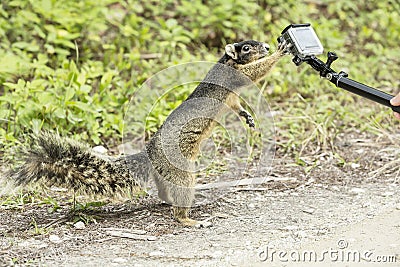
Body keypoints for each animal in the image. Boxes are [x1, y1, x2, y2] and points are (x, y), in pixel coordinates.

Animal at [10, 39, 288, 227]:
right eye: (246, 48)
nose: (265, 46)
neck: (227, 62)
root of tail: (151, 154)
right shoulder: (234, 77)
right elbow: (256, 71)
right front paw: (281, 51)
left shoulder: (230, 96)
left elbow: (236, 105)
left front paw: (247, 117)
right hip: (181, 170)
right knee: (180, 197)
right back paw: (187, 219)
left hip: (166, 172)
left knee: (165, 189)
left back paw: (169, 202)